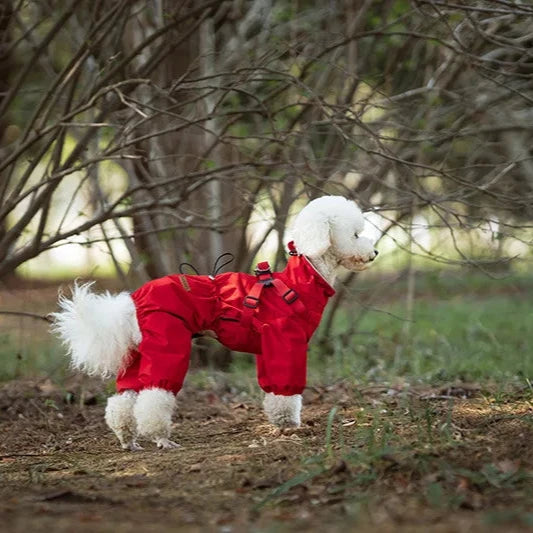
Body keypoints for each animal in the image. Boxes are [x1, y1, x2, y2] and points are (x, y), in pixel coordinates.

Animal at [48, 195, 374, 448]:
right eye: (356, 234)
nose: (375, 252)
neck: (301, 280)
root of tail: (132, 302)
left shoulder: (268, 348)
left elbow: (271, 389)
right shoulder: (285, 342)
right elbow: (285, 391)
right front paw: (288, 424)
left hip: (139, 351)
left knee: (123, 399)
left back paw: (128, 439)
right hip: (168, 341)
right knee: (154, 396)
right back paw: (161, 438)